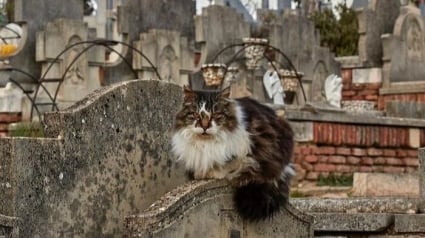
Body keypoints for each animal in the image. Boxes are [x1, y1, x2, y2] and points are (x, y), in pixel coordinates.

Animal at [171, 85, 294, 221]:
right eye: (195, 114)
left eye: (216, 114)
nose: (205, 126)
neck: (205, 144)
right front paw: (200, 173)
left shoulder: (246, 148)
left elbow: (233, 165)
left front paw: (212, 172)